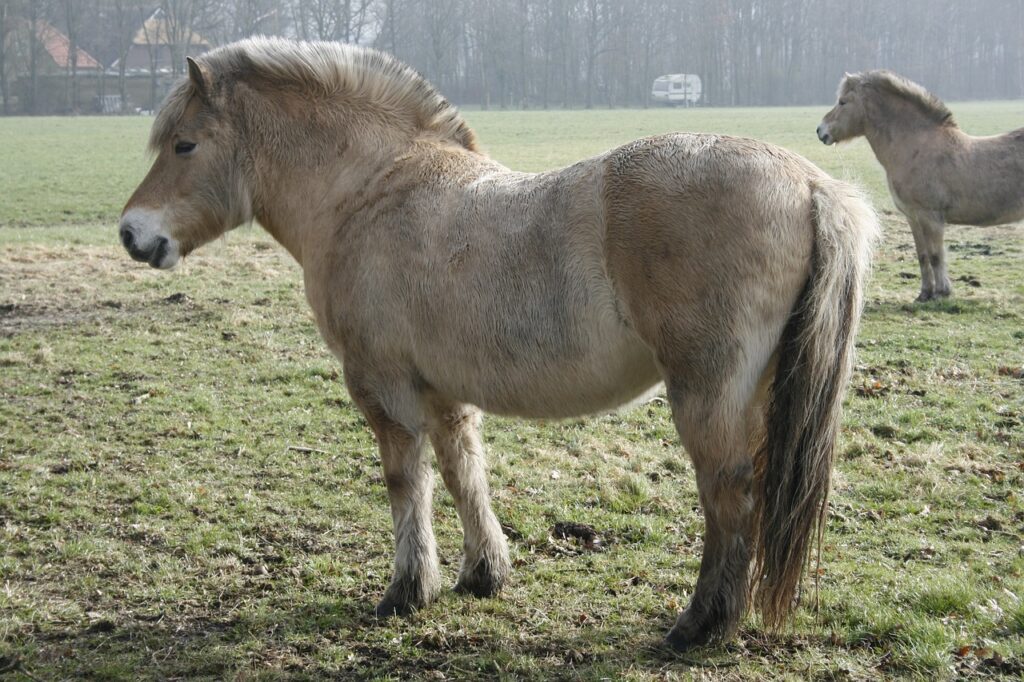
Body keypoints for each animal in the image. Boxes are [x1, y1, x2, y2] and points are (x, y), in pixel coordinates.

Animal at [119, 37, 878, 649]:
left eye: (185, 144)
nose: (132, 233)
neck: (367, 193)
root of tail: (809, 184)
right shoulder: (443, 393)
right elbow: (464, 474)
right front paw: (484, 574)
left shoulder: (382, 386)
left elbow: (407, 481)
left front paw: (406, 591)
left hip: (706, 395)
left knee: (728, 495)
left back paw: (698, 625)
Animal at [817, 70, 1024, 301]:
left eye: (843, 102)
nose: (820, 130)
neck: (916, 148)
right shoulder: (913, 217)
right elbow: (922, 255)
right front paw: (924, 293)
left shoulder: (931, 217)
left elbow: (936, 256)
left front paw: (941, 292)